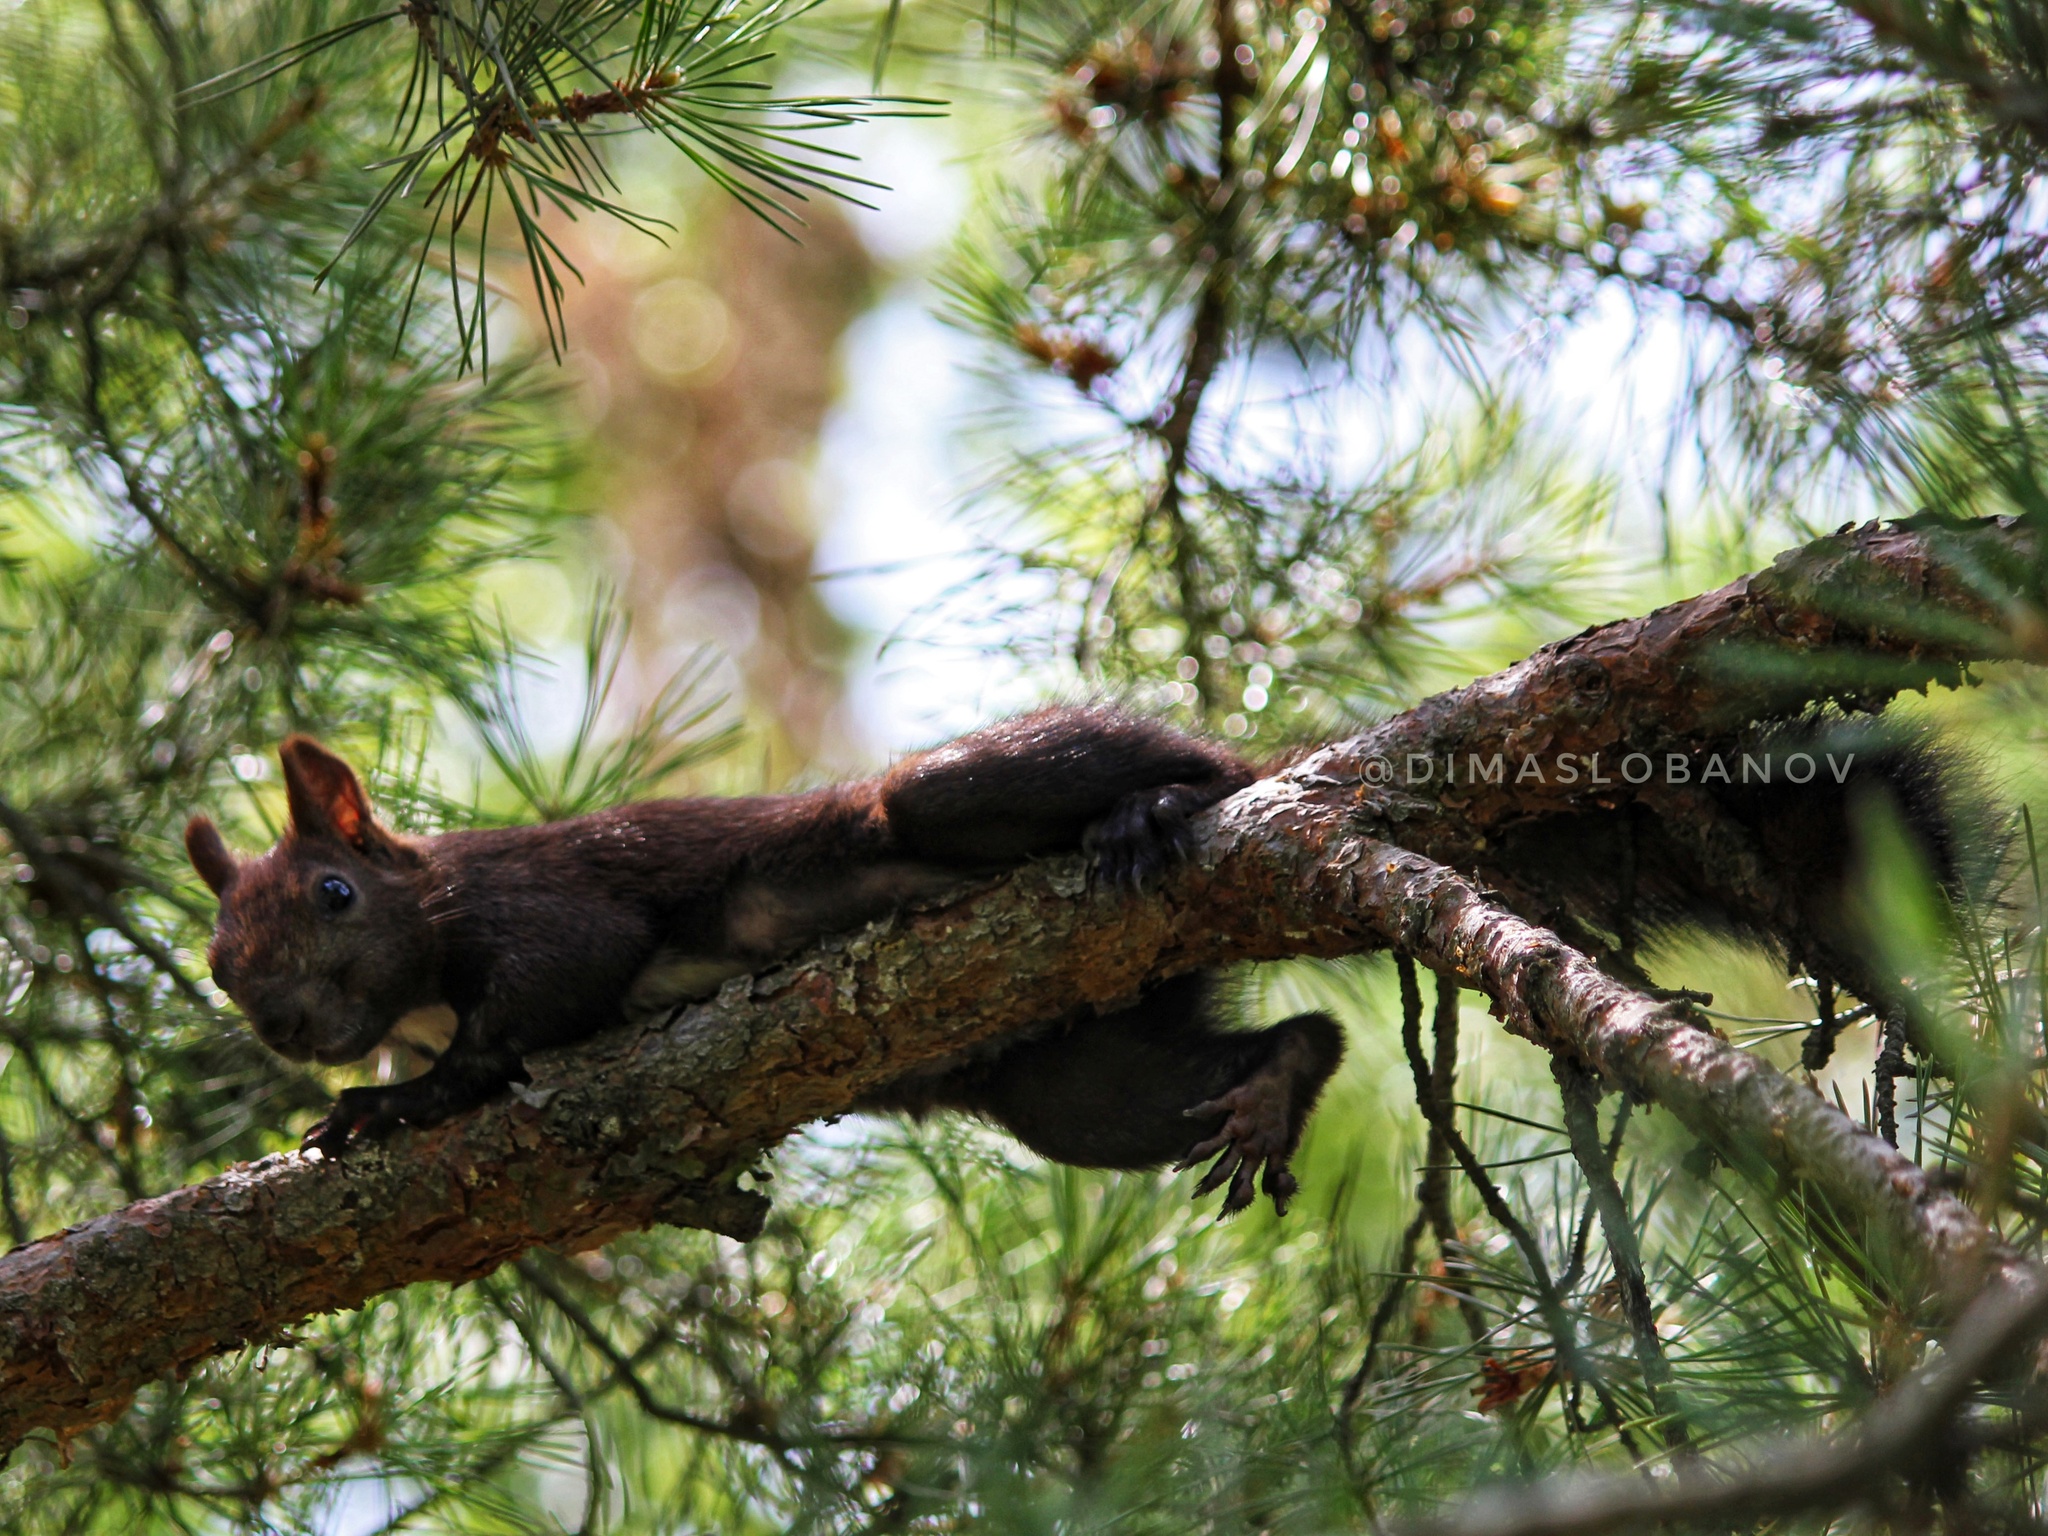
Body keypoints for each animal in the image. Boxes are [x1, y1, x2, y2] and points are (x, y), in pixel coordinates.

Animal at [184, 704, 1351, 1220]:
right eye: (217, 964)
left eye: (334, 893)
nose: (284, 1024)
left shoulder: (543, 906)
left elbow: (523, 1016)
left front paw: (390, 1106)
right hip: (1078, 1077)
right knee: (1219, 1065)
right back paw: (1273, 1087)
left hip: (953, 794)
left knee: (1208, 767)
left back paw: (1159, 807)